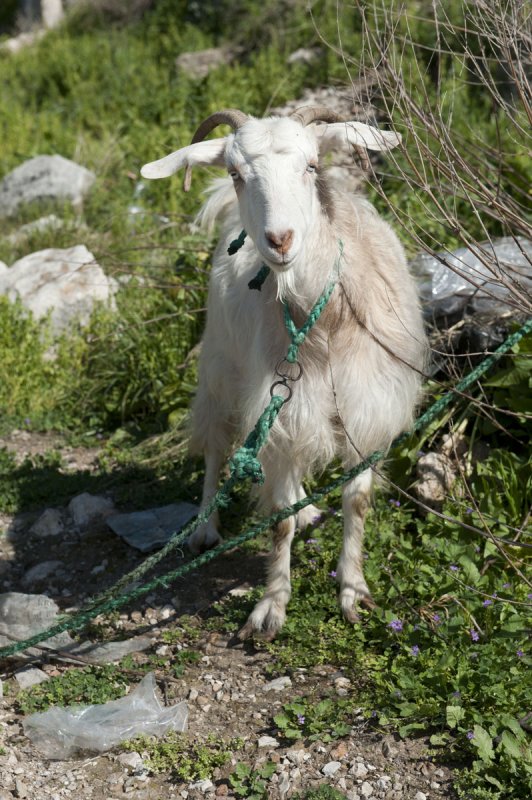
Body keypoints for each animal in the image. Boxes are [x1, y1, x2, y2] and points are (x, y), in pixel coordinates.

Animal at [141, 106, 428, 640]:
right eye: (236, 173)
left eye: (312, 166)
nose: (280, 241)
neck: (326, 323)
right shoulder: (280, 405)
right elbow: (278, 521)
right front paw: (271, 607)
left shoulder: (366, 406)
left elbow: (356, 500)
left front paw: (353, 592)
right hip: (221, 366)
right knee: (216, 445)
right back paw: (205, 528)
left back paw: (307, 506)